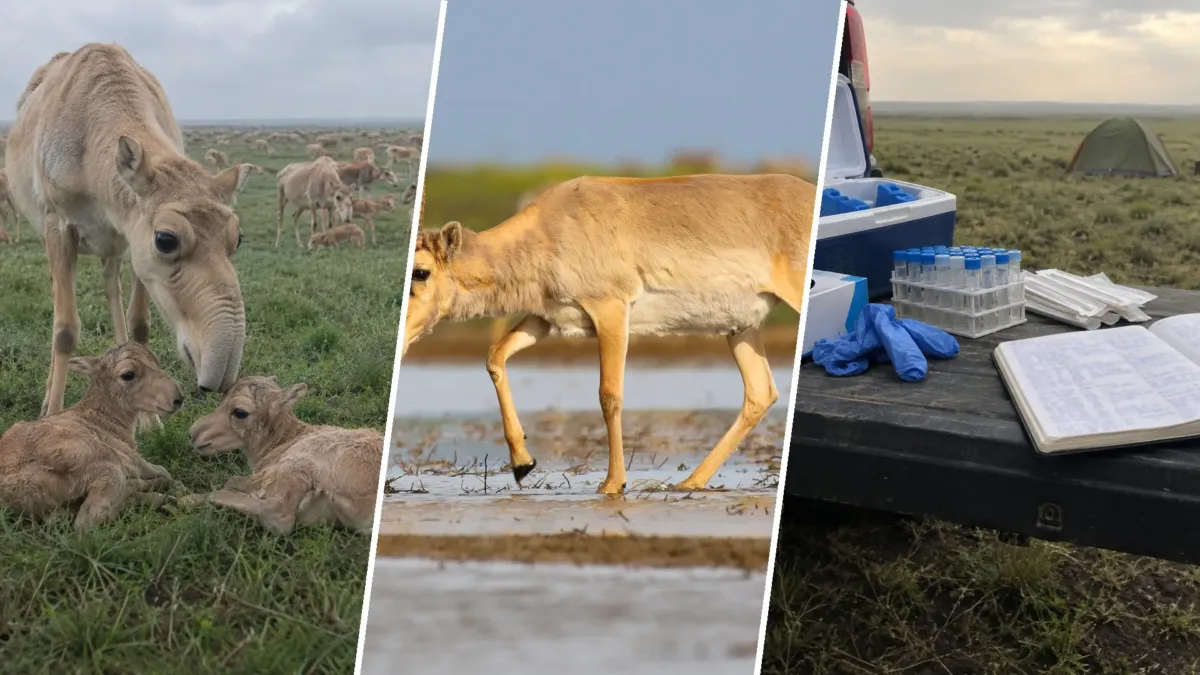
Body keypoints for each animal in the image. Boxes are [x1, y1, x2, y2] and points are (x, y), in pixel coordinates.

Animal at [5, 43, 248, 417]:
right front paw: (53, 411)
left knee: (111, 286)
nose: (220, 373)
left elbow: (140, 324)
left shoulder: (132, 238)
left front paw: (149, 418)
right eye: (166, 239)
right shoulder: (59, 224)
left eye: (237, 237)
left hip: (114, 247)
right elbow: (64, 330)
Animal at [404, 174, 814, 494]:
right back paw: (689, 482)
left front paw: (612, 483)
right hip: (741, 327)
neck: (550, 227)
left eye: (420, 272)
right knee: (760, 392)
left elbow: (609, 395)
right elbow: (495, 356)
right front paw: (523, 464)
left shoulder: (610, 311)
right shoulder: (545, 319)